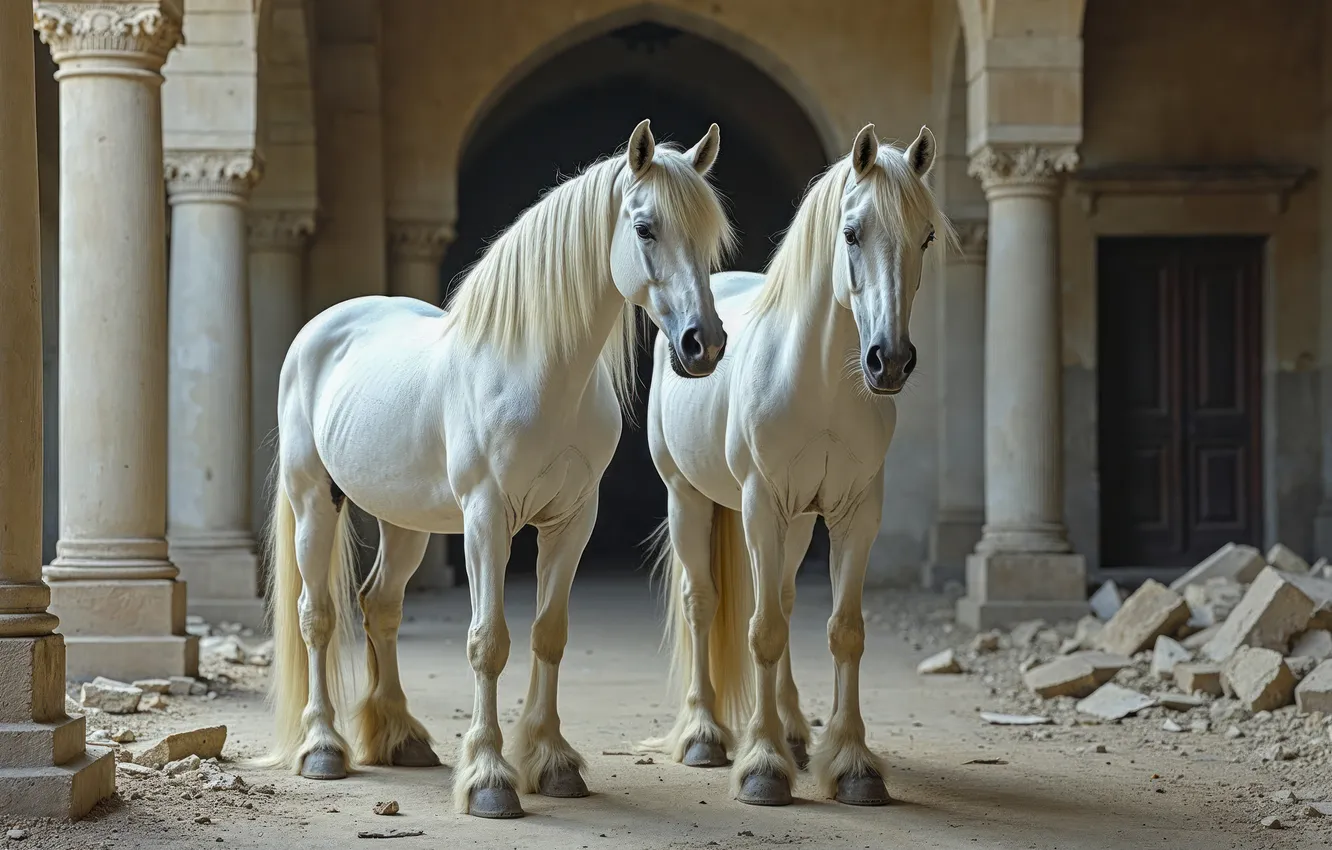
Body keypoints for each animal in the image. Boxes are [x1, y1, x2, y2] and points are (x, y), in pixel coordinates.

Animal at [262, 119, 736, 819]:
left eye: (710, 236)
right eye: (646, 227)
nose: (703, 345)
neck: (534, 373)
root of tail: (320, 330)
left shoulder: (571, 521)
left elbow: (548, 634)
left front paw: (553, 761)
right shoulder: (487, 519)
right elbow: (488, 641)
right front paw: (489, 776)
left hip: (408, 523)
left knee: (380, 607)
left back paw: (400, 736)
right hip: (314, 501)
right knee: (317, 615)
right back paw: (323, 748)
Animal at [640, 124, 947, 807]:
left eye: (927, 237)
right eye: (852, 232)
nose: (889, 360)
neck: (821, 383)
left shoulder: (855, 513)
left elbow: (842, 629)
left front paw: (852, 763)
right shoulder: (760, 504)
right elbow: (762, 630)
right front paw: (761, 765)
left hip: (800, 521)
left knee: (776, 595)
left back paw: (793, 731)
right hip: (686, 497)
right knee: (704, 602)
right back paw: (704, 734)